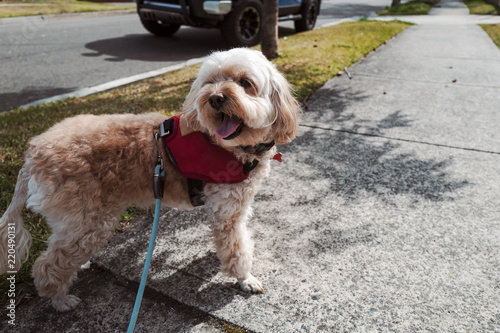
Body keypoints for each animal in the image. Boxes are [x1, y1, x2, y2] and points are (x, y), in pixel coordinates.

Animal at [0, 47, 298, 312]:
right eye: (210, 82)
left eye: (245, 83)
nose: (214, 98)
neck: (232, 147)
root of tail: (33, 153)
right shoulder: (227, 210)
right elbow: (237, 248)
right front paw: (245, 278)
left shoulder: (235, 207)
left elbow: (236, 241)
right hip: (91, 221)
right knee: (47, 264)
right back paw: (60, 299)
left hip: (72, 221)